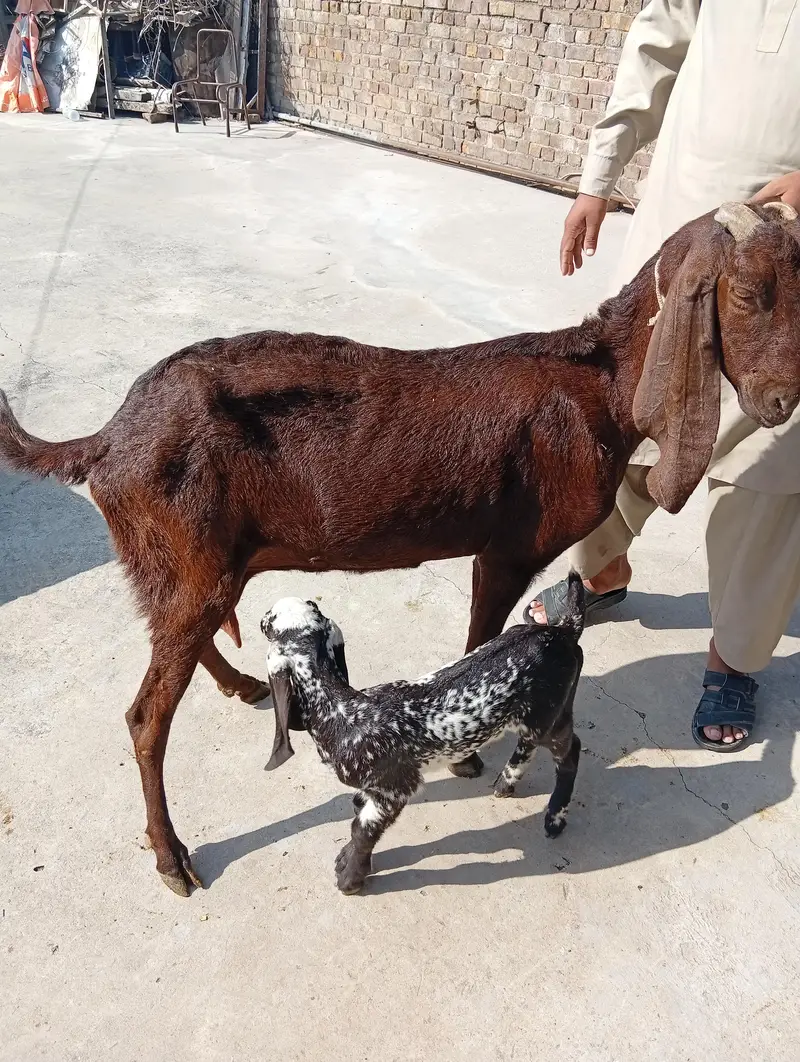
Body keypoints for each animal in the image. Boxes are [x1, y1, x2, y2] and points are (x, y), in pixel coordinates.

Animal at [260, 578, 585, 893]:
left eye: (269, 622)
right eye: (311, 606)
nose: (263, 616)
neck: (342, 711)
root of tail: (565, 630)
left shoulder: (395, 789)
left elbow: (362, 830)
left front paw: (349, 877)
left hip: (548, 717)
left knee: (570, 752)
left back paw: (554, 819)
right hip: (541, 714)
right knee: (529, 743)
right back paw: (506, 784)